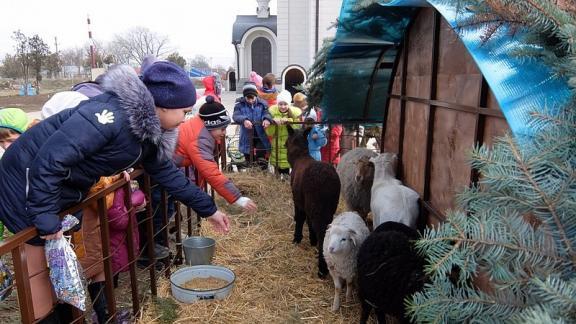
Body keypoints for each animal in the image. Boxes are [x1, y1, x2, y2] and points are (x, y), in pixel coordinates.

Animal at [286, 125, 340, 278]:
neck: (300, 156)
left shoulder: (298, 199)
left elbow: (300, 218)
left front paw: (297, 239)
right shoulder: (306, 203)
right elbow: (308, 221)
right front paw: (312, 239)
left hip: (317, 205)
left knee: (322, 231)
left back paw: (322, 269)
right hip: (329, 206)